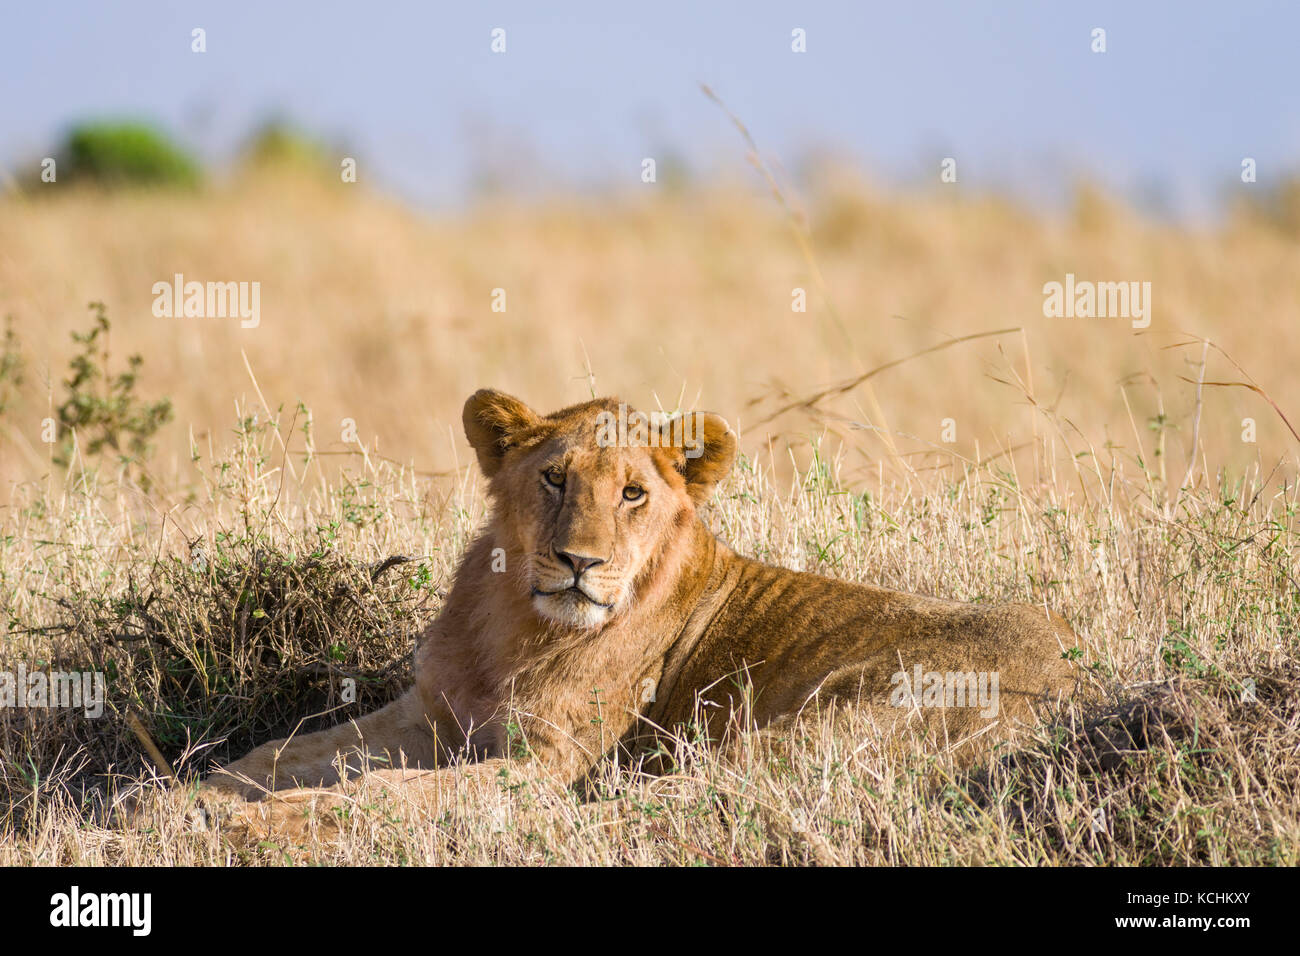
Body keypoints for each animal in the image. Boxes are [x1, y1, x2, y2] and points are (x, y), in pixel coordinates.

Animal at [203, 389, 1078, 837]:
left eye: (632, 493)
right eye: (554, 478)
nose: (580, 563)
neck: (512, 624)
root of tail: (1074, 689)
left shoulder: (545, 761)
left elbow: (393, 793)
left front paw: (262, 824)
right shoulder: (429, 715)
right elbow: (283, 750)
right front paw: (191, 795)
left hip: (818, 722)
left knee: (685, 800)